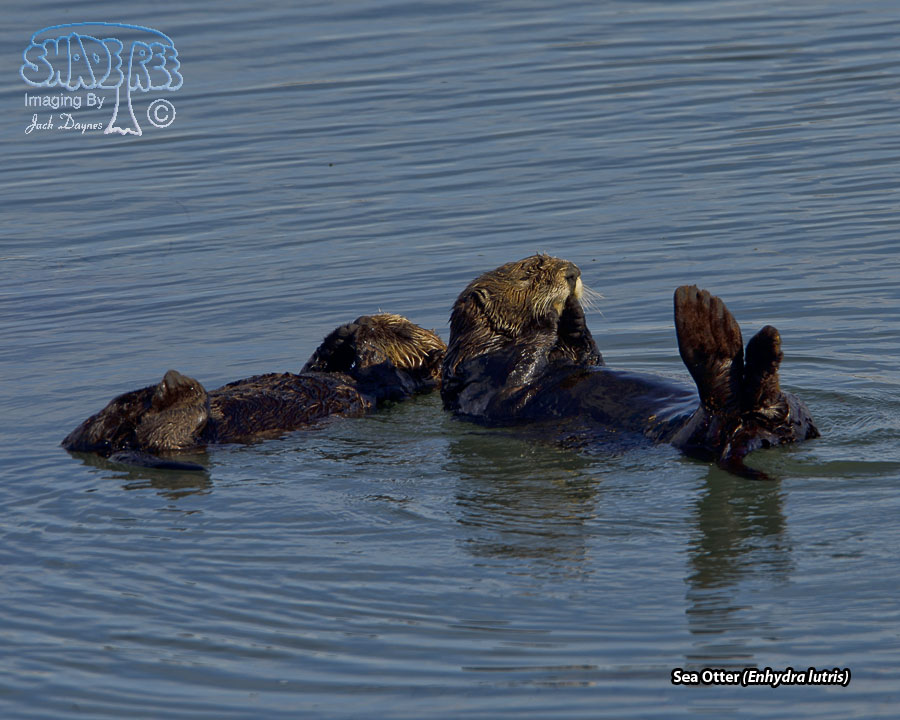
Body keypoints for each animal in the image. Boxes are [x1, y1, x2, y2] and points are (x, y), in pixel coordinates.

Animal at [63, 314, 446, 470]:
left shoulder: (399, 385)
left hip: (181, 438)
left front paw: (362, 340)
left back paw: (180, 387)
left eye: (400, 333)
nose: (364, 322)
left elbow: (386, 370)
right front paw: (342, 333)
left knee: (167, 432)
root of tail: (121, 445)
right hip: (97, 432)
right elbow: (312, 366)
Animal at [441, 255, 818, 479]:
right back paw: (704, 319)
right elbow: (519, 370)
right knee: (718, 410)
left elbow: (588, 356)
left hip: (792, 412)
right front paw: (552, 314)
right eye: (529, 273)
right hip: (700, 435)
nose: (572, 273)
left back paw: (759, 344)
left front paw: (575, 315)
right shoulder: (482, 373)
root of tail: (758, 431)